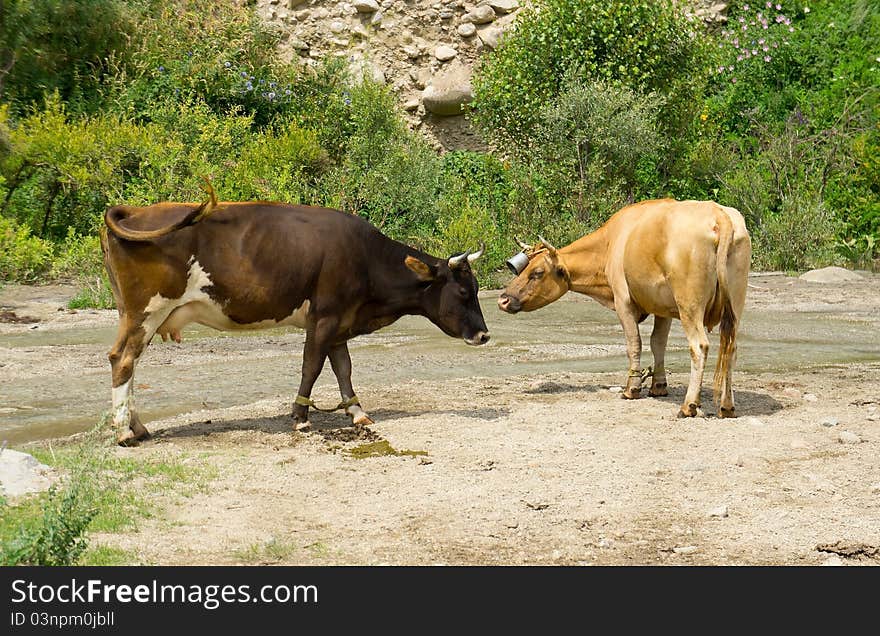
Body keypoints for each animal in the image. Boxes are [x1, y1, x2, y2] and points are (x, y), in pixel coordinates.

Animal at [104, 189, 492, 448]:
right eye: (463, 292)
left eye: (475, 288)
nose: (485, 335)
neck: (365, 259)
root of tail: (136, 211)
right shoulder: (325, 318)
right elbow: (312, 367)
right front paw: (301, 419)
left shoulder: (340, 322)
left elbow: (343, 368)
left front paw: (357, 412)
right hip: (146, 311)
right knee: (123, 359)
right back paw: (125, 432)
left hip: (134, 313)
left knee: (127, 361)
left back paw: (137, 427)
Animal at [498, 199, 752, 418]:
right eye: (522, 269)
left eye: (537, 272)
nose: (503, 300)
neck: (612, 242)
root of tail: (717, 213)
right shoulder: (662, 307)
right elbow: (658, 343)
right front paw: (658, 385)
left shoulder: (623, 302)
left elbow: (634, 344)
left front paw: (632, 388)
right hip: (735, 304)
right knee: (731, 348)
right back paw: (727, 406)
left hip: (689, 305)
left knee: (699, 346)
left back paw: (689, 405)